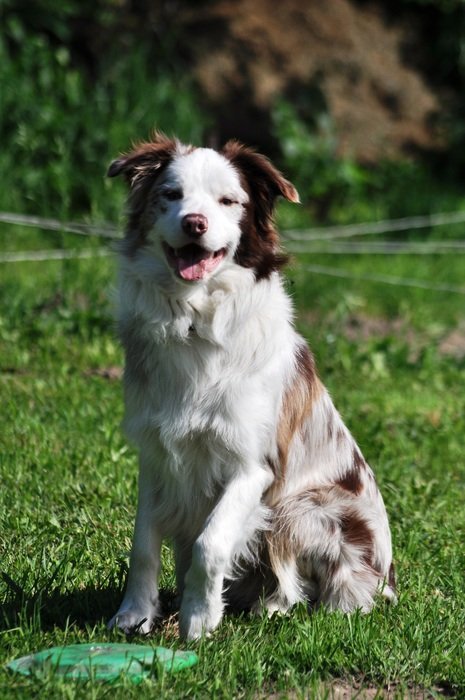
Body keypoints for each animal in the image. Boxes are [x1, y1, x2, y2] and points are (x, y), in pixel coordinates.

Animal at [106, 131, 396, 640]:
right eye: (171, 195)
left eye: (228, 201)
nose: (195, 223)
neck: (194, 321)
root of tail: (388, 580)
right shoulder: (156, 453)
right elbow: (142, 542)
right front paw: (135, 614)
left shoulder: (253, 465)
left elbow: (211, 541)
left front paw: (200, 621)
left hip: (303, 508)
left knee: (318, 589)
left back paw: (275, 608)